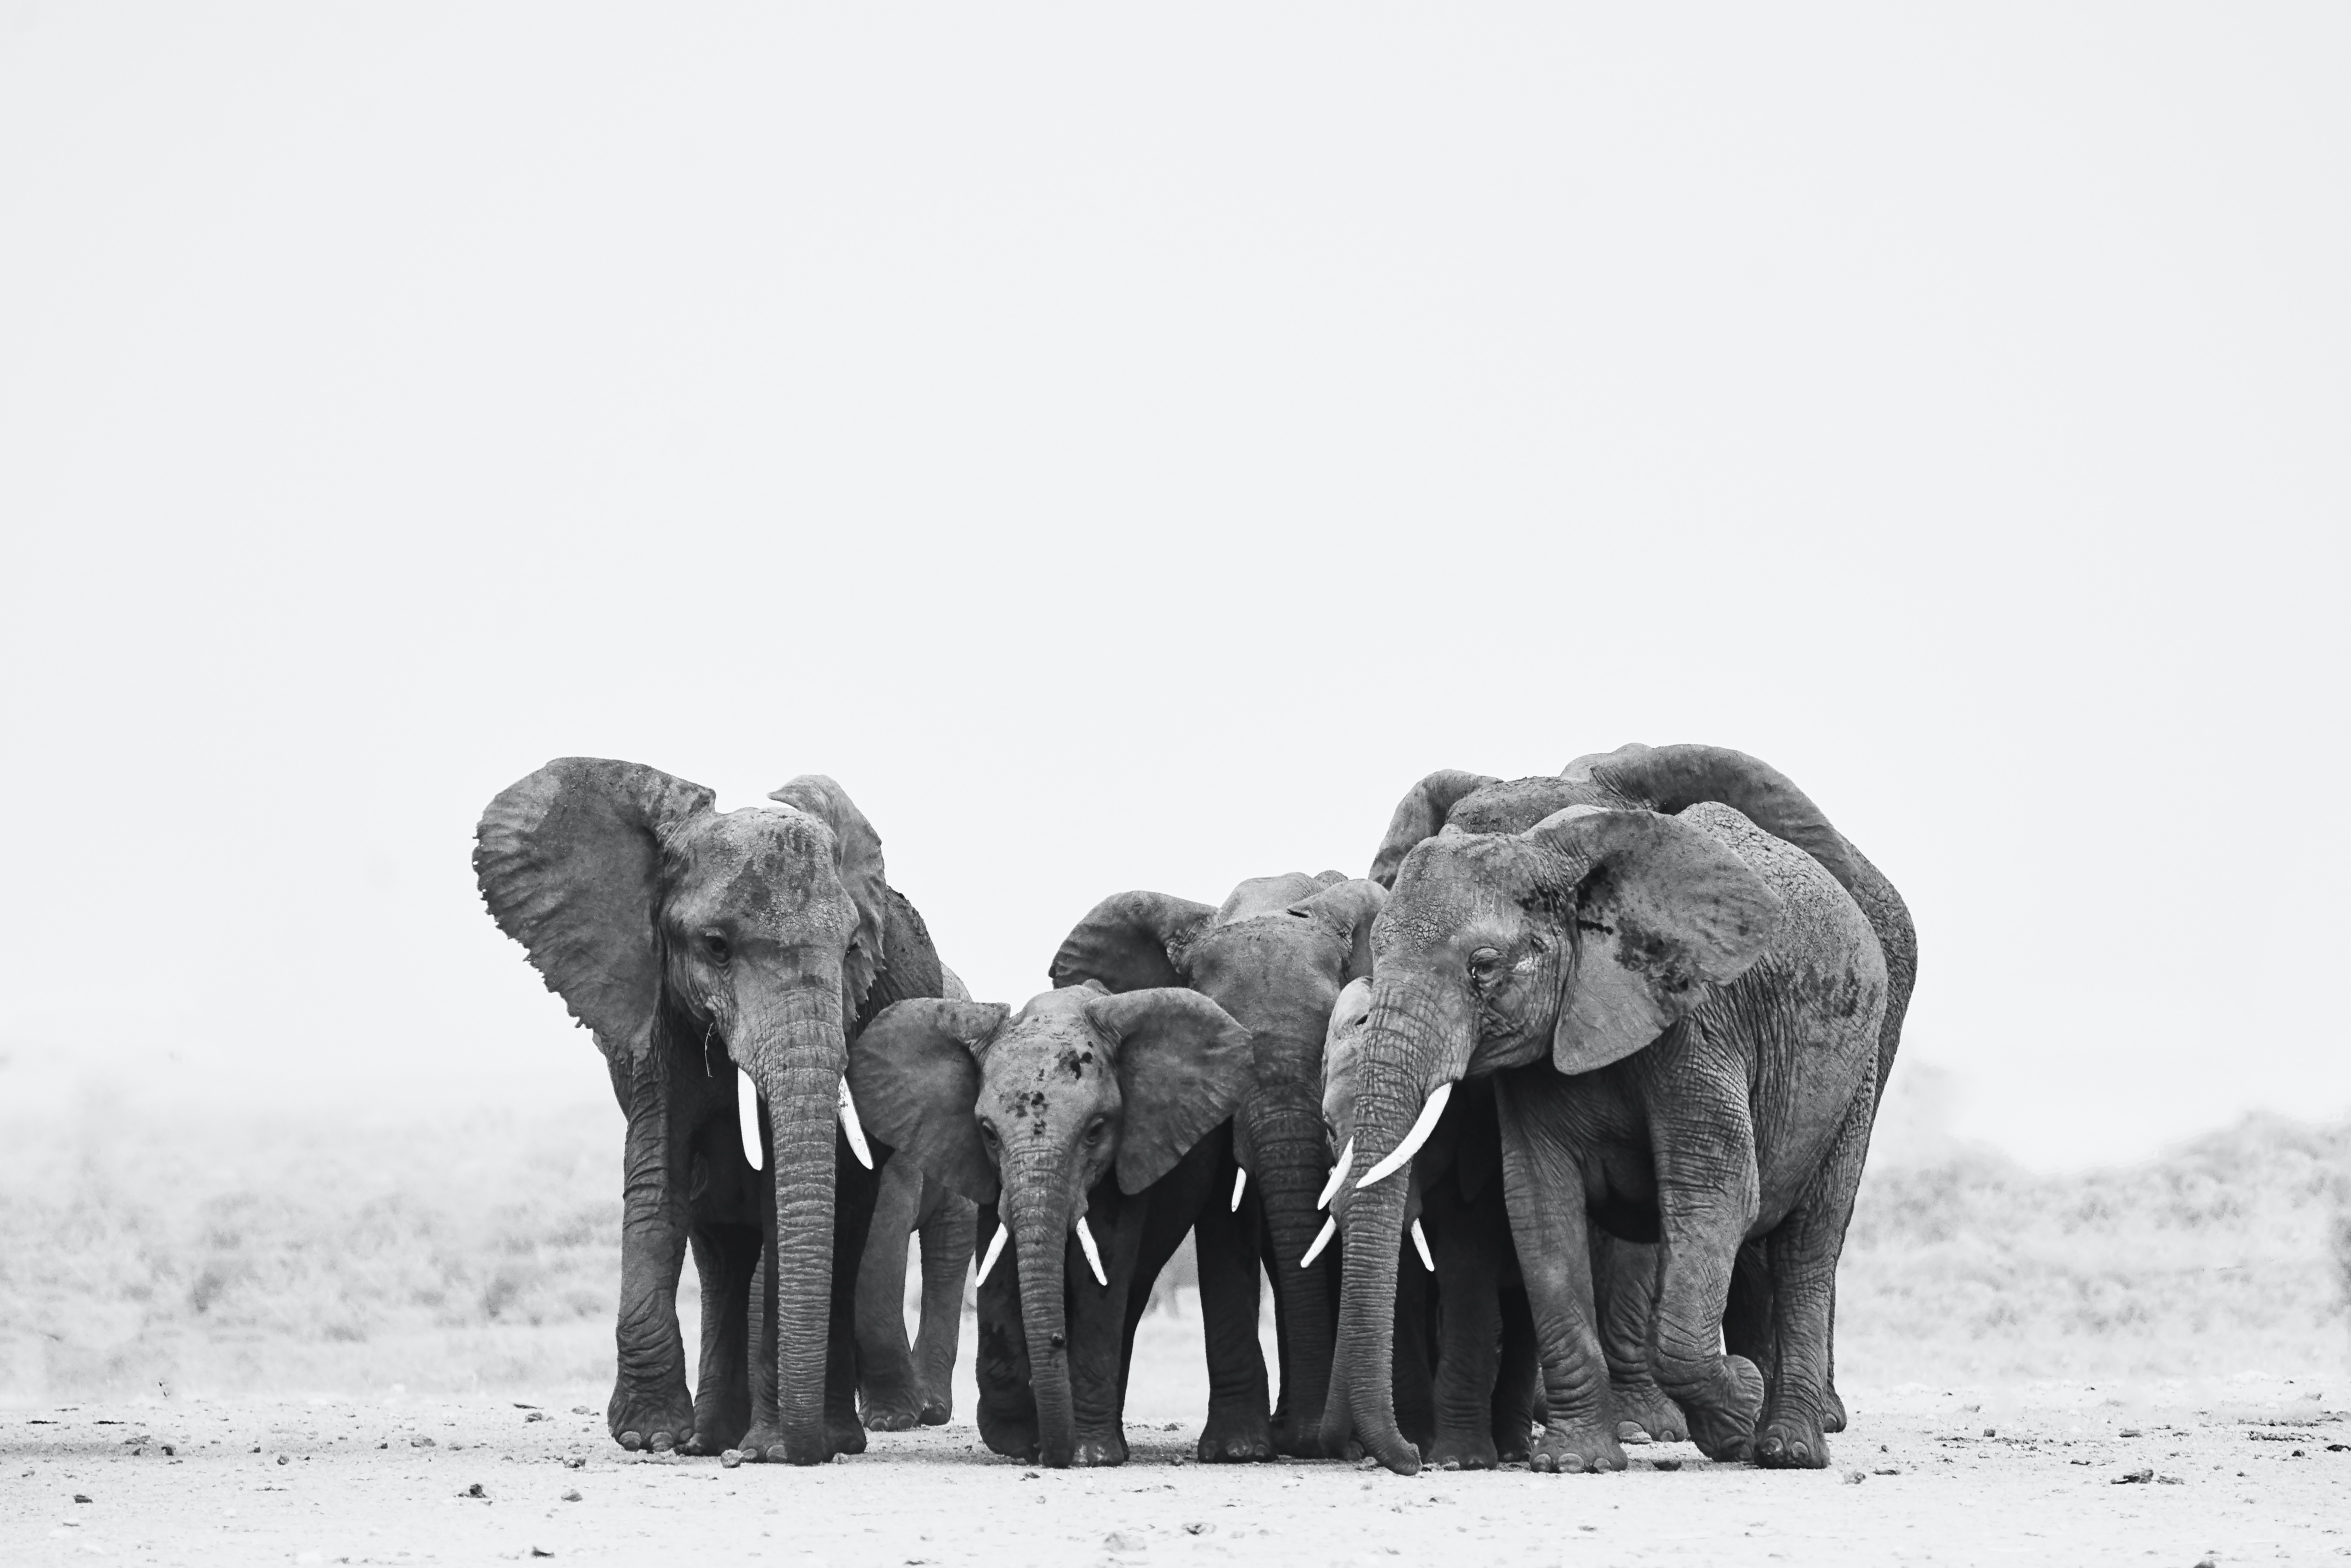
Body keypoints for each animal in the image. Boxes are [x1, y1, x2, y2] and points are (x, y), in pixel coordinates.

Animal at [475, 760, 948, 1464]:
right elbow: (658, 1183)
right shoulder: (652, 1023)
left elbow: (785, 1207)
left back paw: (814, 1435)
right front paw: (648, 1436)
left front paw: (775, 1446)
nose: (795, 1450)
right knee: (720, 1248)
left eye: (851, 950)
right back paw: (712, 1439)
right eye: (717, 947)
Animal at [846, 982, 1265, 1467]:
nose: (1049, 1452)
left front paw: (1088, 1453)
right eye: (988, 1132)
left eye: (1096, 1129)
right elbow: (1000, 1267)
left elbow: (1101, 1270)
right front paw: (1017, 1440)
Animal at [1323, 799, 1891, 1476]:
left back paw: (1789, 1449)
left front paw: (1738, 1408)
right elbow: (1539, 1204)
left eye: (1482, 967)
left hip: (1856, 1072)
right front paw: (1575, 1461)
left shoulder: (1698, 1024)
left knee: (1809, 1243)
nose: (1411, 1459)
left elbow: (1716, 1190)